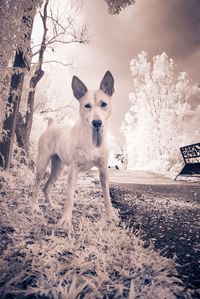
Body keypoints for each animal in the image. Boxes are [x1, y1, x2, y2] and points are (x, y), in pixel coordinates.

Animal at [32, 71, 118, 227]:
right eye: (87, 105)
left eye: (104, 104)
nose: (97, 122)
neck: (90, 141)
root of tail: (51, 126)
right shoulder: (74, 170)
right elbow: (70, 197)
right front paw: (66, 219)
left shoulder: (103, 170)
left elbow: (107, 196)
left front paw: (111, 215)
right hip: (42, 163)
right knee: (36, 186)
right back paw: (35, 207)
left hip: (58, 167)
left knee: (46, 187)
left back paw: (53, 206)